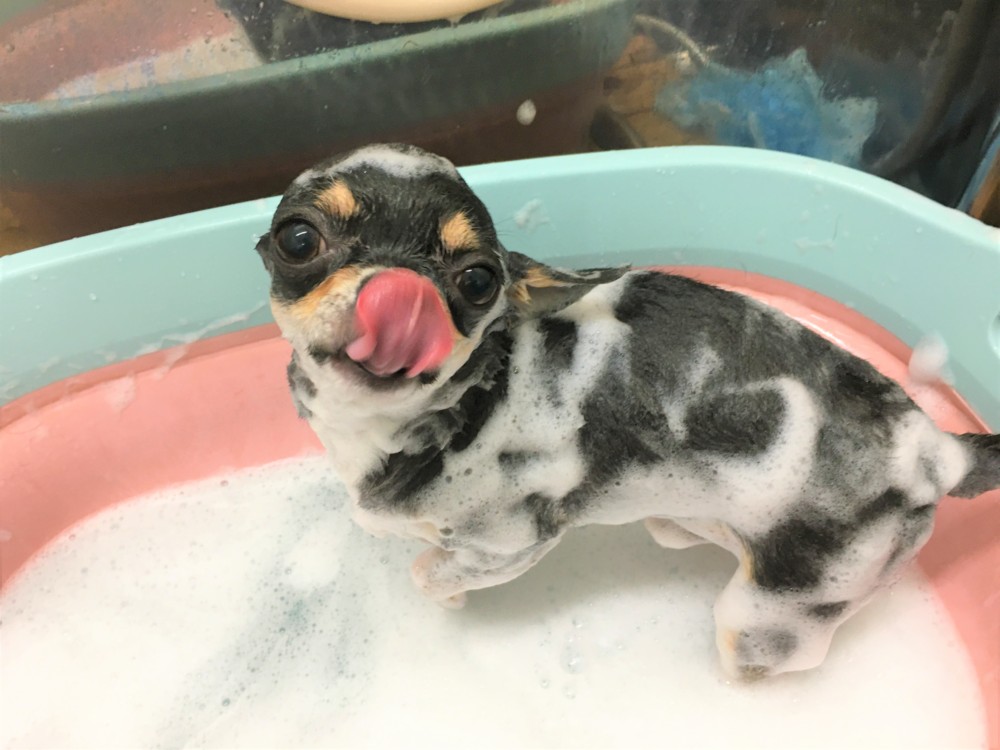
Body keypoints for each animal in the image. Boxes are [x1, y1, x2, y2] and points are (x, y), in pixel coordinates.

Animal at [256, 143, 1000, 680]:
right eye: (298, 240)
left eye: (478, 280)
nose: (398, 293)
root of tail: (939, 449)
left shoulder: (513, 542)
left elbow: (430, 572)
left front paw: (453, 596)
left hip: (769, 619)